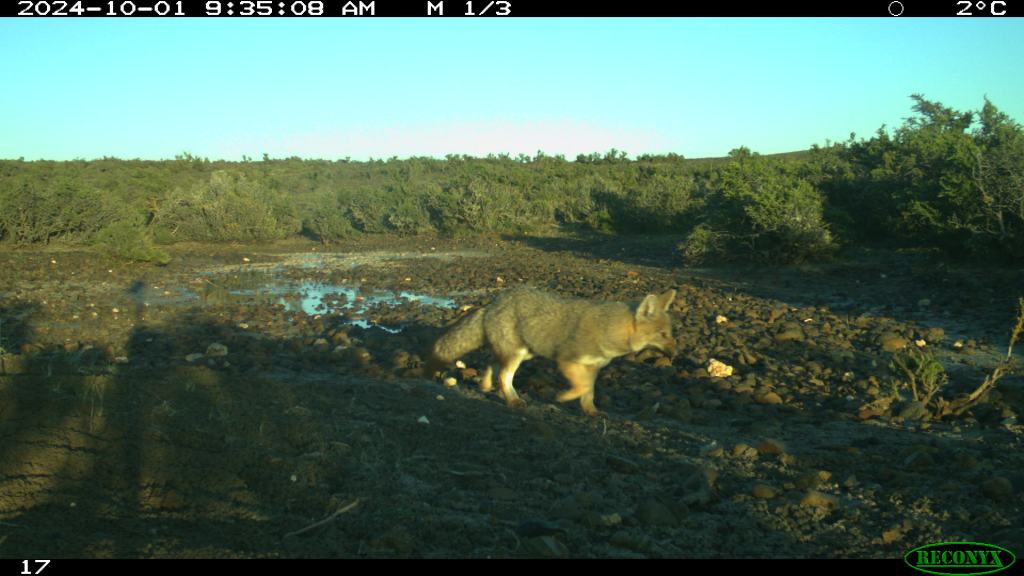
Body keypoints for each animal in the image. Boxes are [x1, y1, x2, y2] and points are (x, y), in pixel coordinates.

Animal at [429, 287, 677, 416]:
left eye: (671, 333)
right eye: (664, 335)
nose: (675, 354)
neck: (608, 328)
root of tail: (491, 304)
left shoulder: (593, 367)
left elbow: (589, 391)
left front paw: (591, 411)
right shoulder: (566, 361)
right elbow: (582, 386)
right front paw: (563, 397)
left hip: (524, 352)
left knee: (492, 363)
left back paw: (486, 386)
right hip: (517, 355)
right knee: (504, 375)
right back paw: (512, 400)